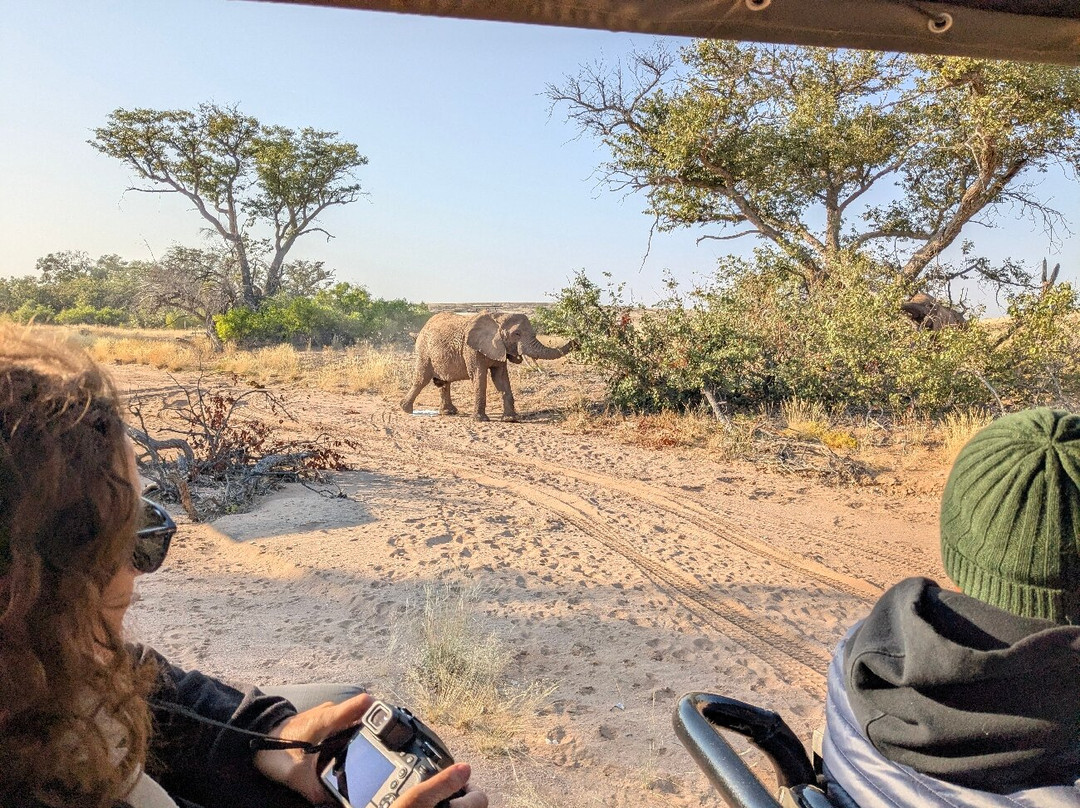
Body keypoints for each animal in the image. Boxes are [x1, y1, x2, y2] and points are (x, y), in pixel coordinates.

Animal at [401, 311, 575, 422]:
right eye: (517, 334)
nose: (576, 341)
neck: (498, 318)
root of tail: (421, 329)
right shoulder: (471, 348)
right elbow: (478, 376)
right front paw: (480, 420)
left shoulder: (499, 348)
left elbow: (501, 378)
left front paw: (510, 419)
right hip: (424, 351)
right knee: (422, 379)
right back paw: (405, 409)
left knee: (444, 382)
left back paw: (449, 412)